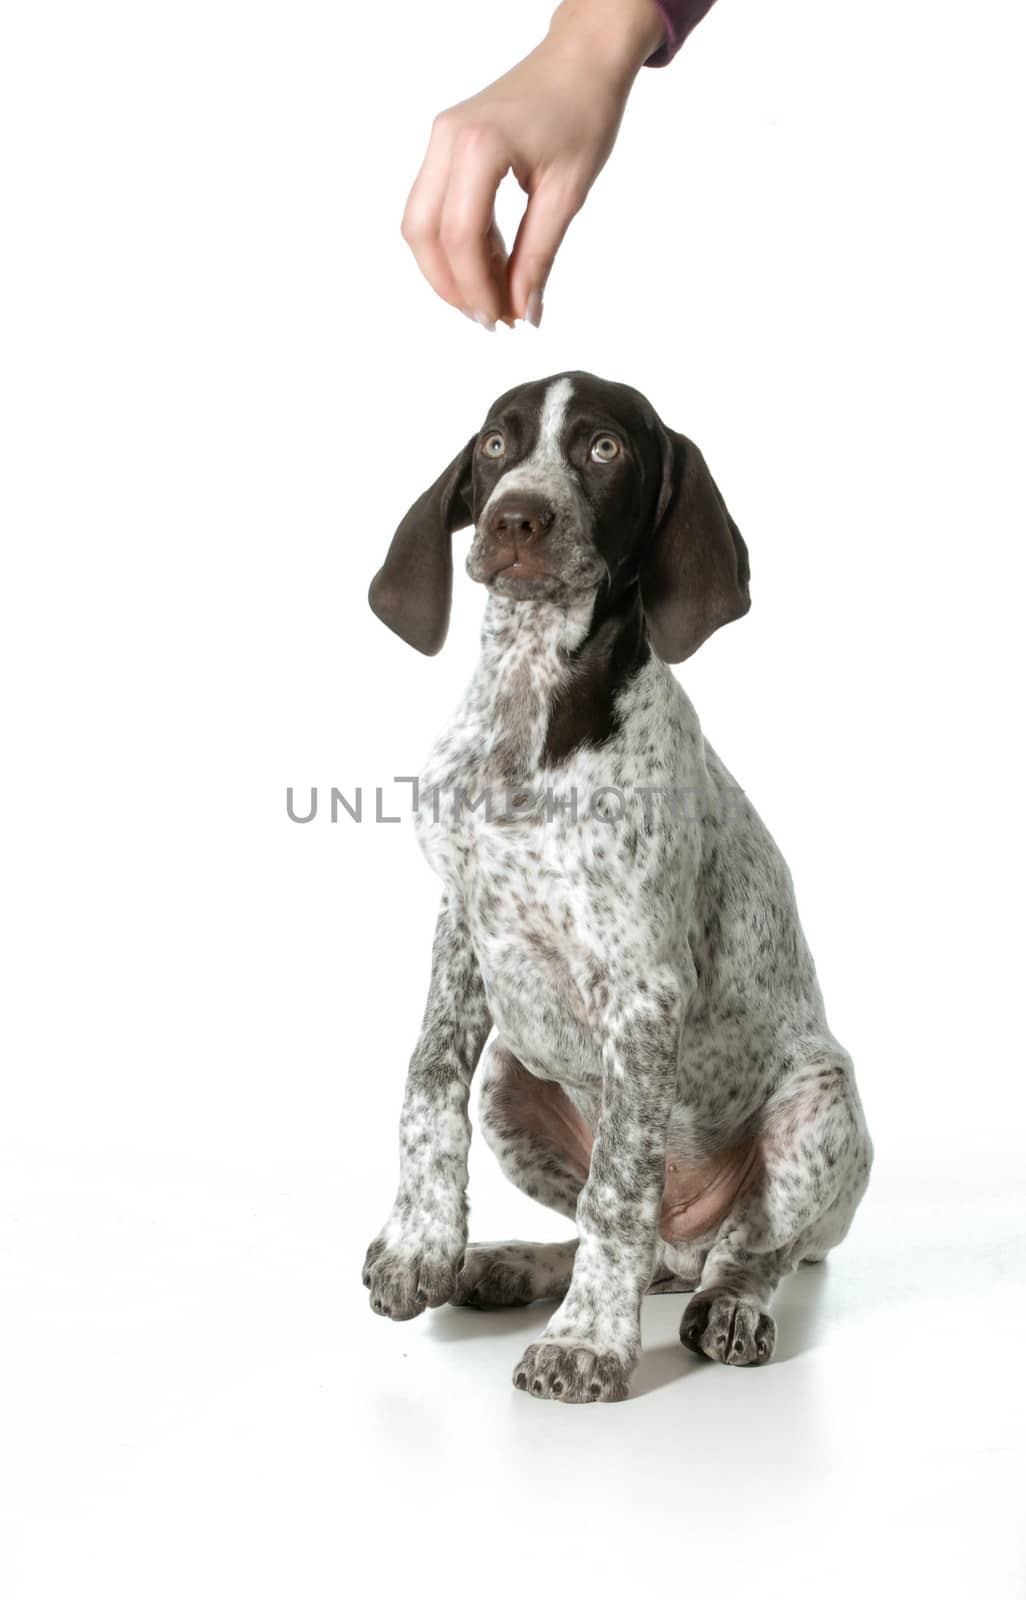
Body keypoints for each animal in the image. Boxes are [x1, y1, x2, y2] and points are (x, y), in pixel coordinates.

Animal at [361, 371, 870, 1401]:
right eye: (496, 444)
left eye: (605, 449)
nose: (515, 519)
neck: (529, 702)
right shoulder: (463, 926)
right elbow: (427, 1080)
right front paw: (420, 1246)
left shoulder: (643, 994)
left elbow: (620, 1188)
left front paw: (589, 1342)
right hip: (512, 1081)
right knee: (654, 1254)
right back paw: (512, 1263)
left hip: (822, 1103)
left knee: (749, 1249)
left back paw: (729, 1307)